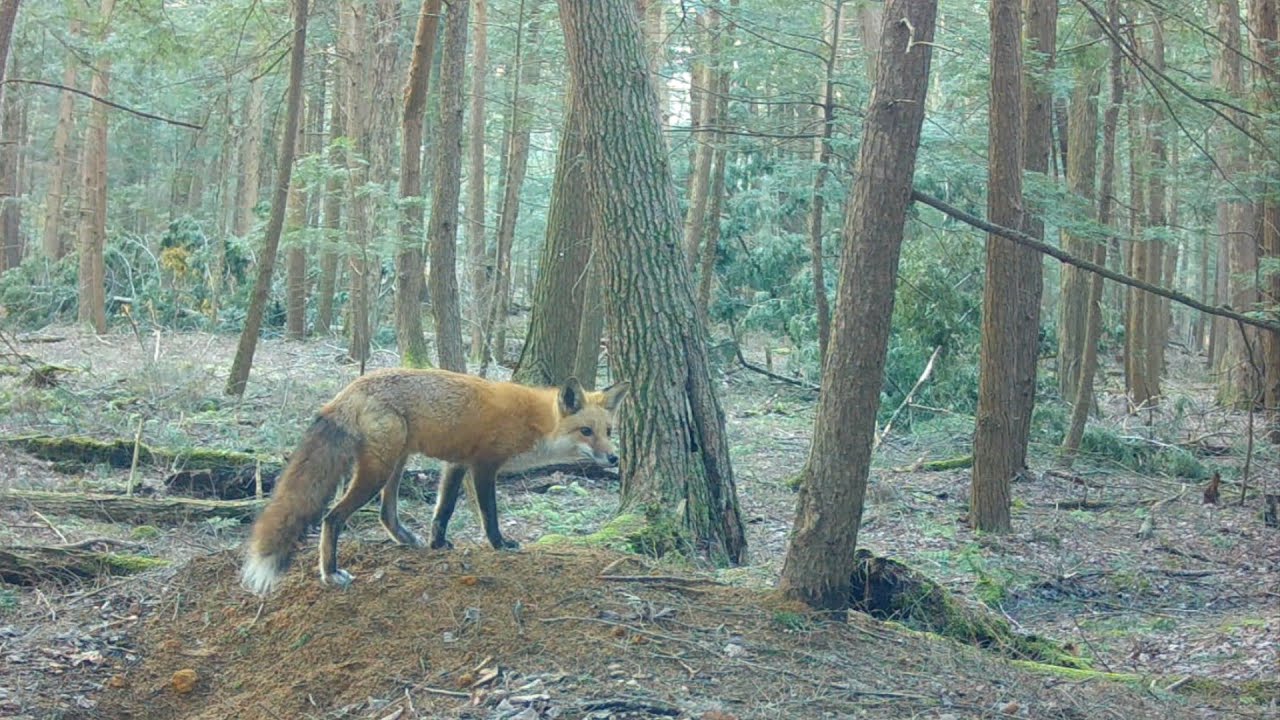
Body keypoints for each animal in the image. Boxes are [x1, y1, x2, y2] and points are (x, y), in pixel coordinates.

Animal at [239, 368, 629, 595]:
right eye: (586, 431)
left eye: (609, 432)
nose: (614, 458)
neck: (535, 421)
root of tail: (348, 390)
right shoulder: (483, 466)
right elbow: (489, 514)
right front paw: (501, 545)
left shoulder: (456, 464)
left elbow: (444, 510)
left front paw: (437, 544)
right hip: (378, 470)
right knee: (332, 517)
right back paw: (331, 573)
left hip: (396, 462)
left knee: (385, 513)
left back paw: (407, 540)